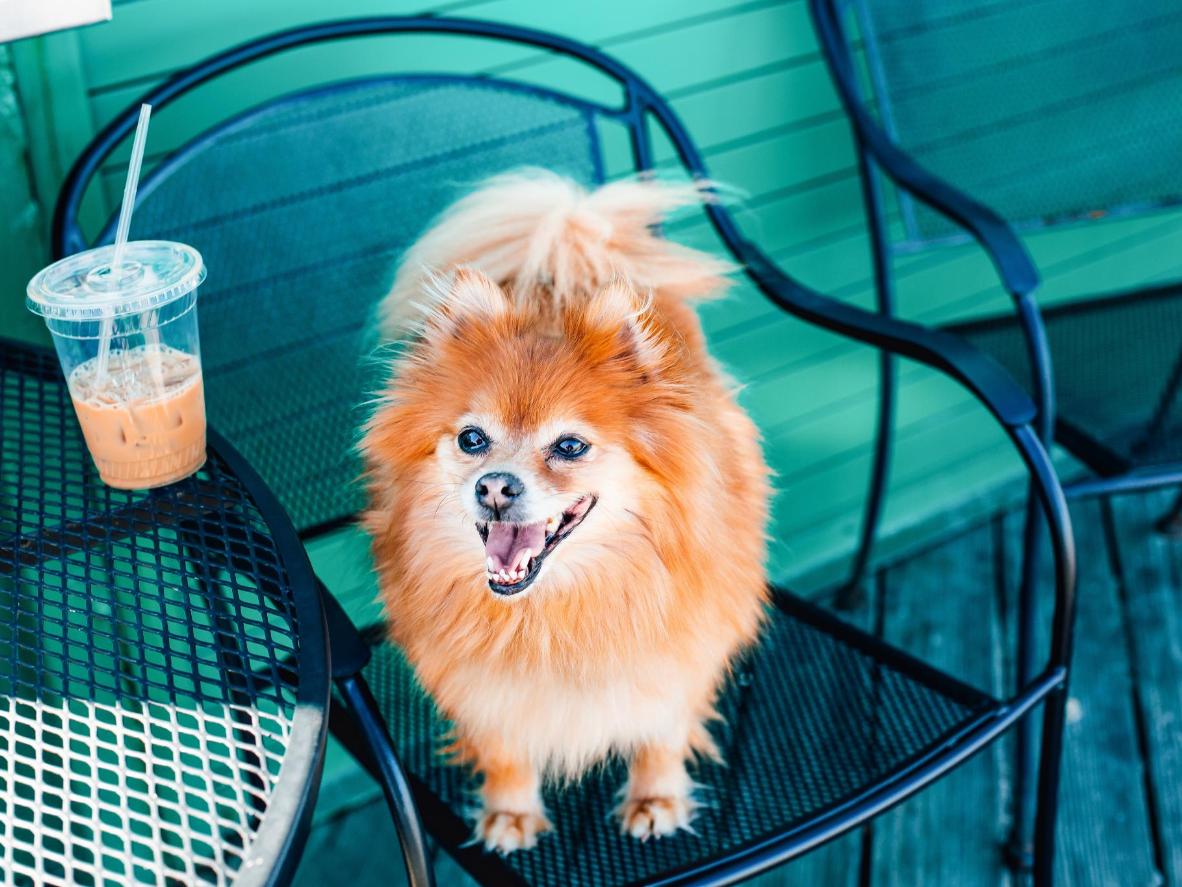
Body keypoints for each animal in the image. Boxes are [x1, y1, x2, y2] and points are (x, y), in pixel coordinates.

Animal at [364, 170, 770, 856]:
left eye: (570, 447)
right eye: (472, 439)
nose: (495, 488)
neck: (553, 609)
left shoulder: (678, 660)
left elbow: (661, 735)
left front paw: (656, 798)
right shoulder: (484, 688)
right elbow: (505, 752)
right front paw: (511, 812)